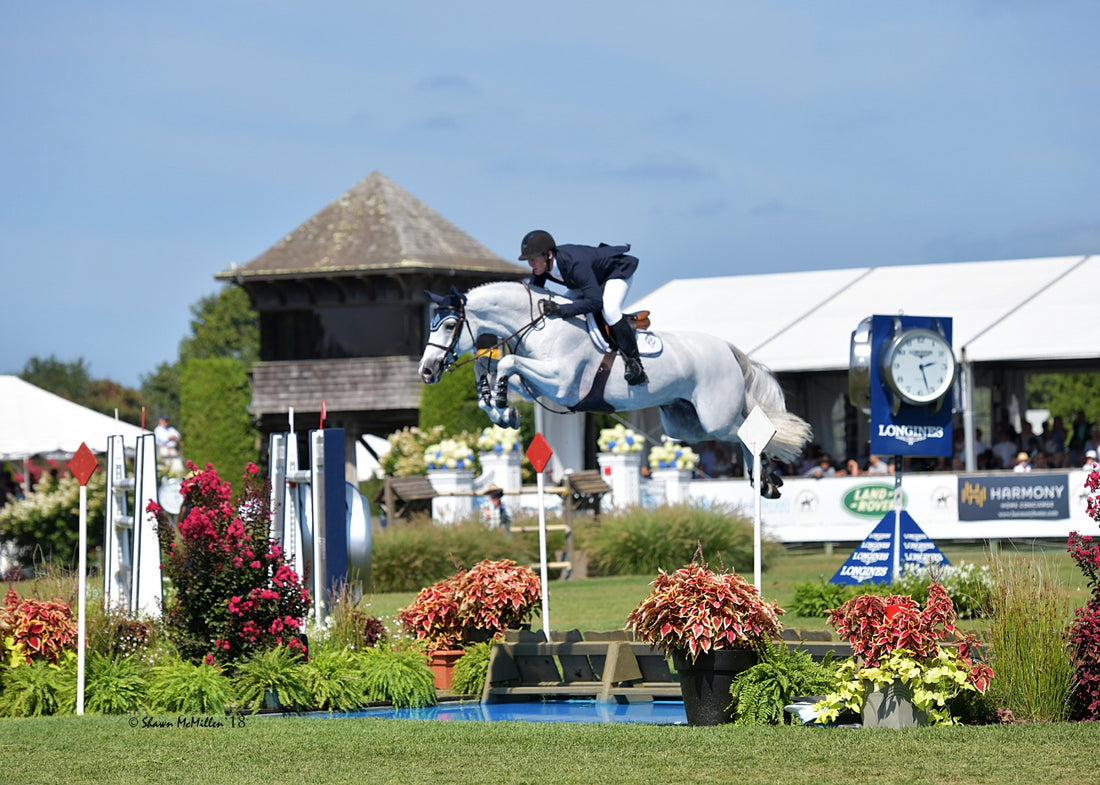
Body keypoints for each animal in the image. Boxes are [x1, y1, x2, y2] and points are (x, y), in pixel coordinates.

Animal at [415, 279, 814, 494]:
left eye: (448, 325)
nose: (426, 371)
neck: (540, 325)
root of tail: (728, 349)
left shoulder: (561, 383)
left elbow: (508, 363)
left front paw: (501, 400)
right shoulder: (541, 383)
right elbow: (498, 368)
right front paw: (501, 410)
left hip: (716, 416)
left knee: (750, 431)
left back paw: (767, 477)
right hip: (684, 423)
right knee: (735, 432)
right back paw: (764, 480)